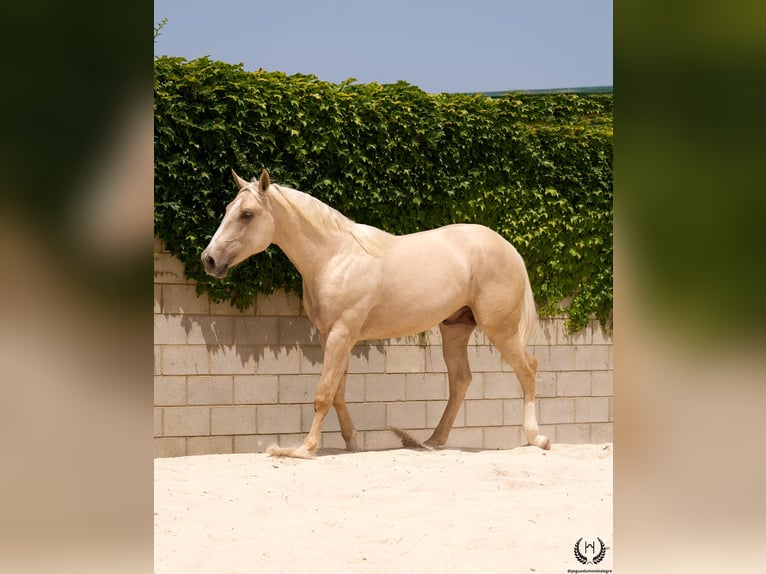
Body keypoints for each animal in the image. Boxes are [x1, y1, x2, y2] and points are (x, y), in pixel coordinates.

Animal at [201, 169, 550, 459]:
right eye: (227, 210)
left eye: (247, 214)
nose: (209, 260)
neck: (334, 256)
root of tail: (508, 248)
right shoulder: (333, 336)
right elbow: (337, 392)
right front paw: (352, 442)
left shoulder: (341, 334)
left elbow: (323, 393)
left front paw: (304, 449)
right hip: (455, 329)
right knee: (461, 381)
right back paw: (433, 441)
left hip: (500, 330)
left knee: (528, 370)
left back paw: (537, 438)